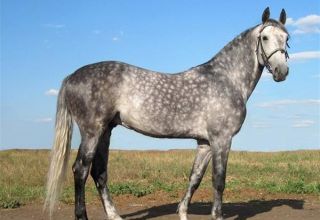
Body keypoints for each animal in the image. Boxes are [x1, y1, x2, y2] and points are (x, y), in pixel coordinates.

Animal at [44, 7, 290, 220]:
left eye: (286, 38)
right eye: (264, 37)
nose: (282, 72)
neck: (226, 79)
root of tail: (72, 76)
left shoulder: (205, 142)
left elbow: (195, 177)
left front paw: (182, 212)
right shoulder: (222, 139)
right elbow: (218, 180)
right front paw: (217, 215)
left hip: (105, 131)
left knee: (99, 173)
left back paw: (115, 215)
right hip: (92, 131)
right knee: (80, 170)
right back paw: (82, 215)